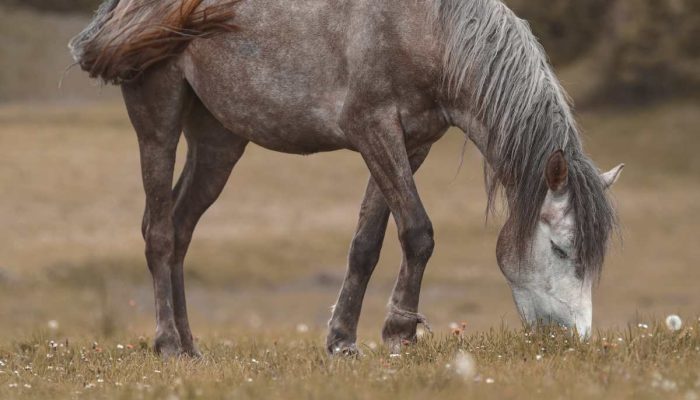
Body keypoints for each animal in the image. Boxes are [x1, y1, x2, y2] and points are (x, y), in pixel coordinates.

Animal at [69, 0, 624, 356]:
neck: (428, 31)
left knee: (182, 230)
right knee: (160, 233)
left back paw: (190, 346)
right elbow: (418, 232)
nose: (573, 341)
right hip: (158, 123)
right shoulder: (373, 129)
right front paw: (399, 333)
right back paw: (166, 344)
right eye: (560, 248)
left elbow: (367, 242)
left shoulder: (408, 145)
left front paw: (342, 340)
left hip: (218, 144)